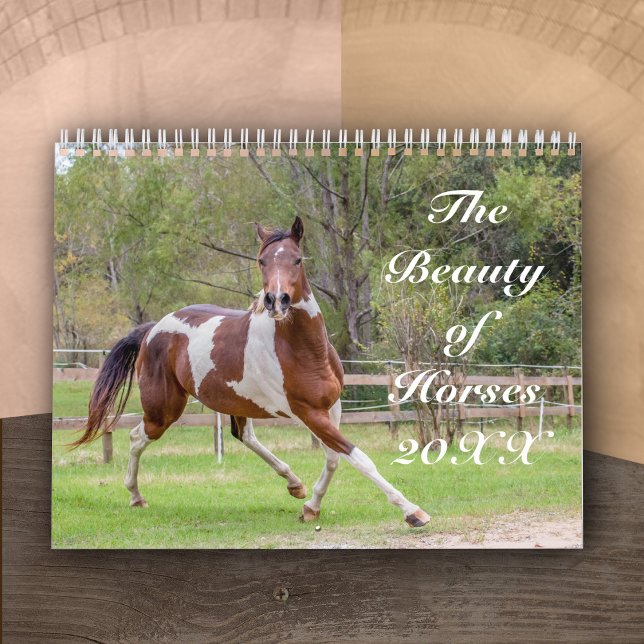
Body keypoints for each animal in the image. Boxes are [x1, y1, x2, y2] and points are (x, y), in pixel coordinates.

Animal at [75, 216, 430, 528]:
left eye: (297, 259)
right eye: (261, 261)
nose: (276, 300)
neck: (304, 350)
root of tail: (152, 330)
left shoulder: (332, 407)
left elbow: (333, 458)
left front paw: (310, 507)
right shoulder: (308, 412)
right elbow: (358, 457)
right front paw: (413, 512)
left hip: (235, 401)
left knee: (243, 436)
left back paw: (294, 483)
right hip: (164, 409)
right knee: (138, 437)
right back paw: (136, 496)